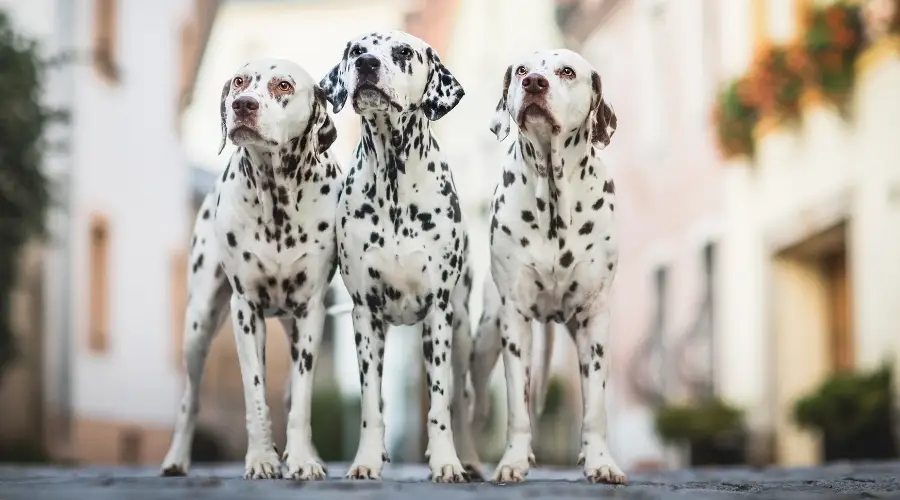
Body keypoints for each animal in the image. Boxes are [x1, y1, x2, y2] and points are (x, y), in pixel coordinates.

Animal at [160, 58, 342, 480]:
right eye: (240, 81)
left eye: (283, 85)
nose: (242, 104)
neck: (276, 202)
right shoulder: (246, 311)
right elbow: (255, 395)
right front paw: (261, 458)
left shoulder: (310, 313)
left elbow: (301, 400)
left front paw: (303, 460)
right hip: (198, 327)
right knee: (190, 399)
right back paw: (176, 458)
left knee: (292, 392)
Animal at [320, 30, 482, 480]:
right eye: (357, 50)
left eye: (404, 52)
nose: (367, 64)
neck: (393, 178)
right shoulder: (364, 315)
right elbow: (371, 405)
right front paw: (365, 460)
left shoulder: (439, 314)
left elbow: (440, 404)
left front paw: (446, 462)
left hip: (461, 332)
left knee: (461, 400)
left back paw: (470, 460)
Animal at [472, 48, 624, 482]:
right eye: (521, 69)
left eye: (566, 72)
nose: (534, 83)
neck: (554, 200)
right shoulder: (514, 321)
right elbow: (517, 409)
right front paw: (513, 461)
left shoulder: (595, 321)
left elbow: (595, 409)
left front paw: (601, 462)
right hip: (485, 338)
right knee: (472, 405)